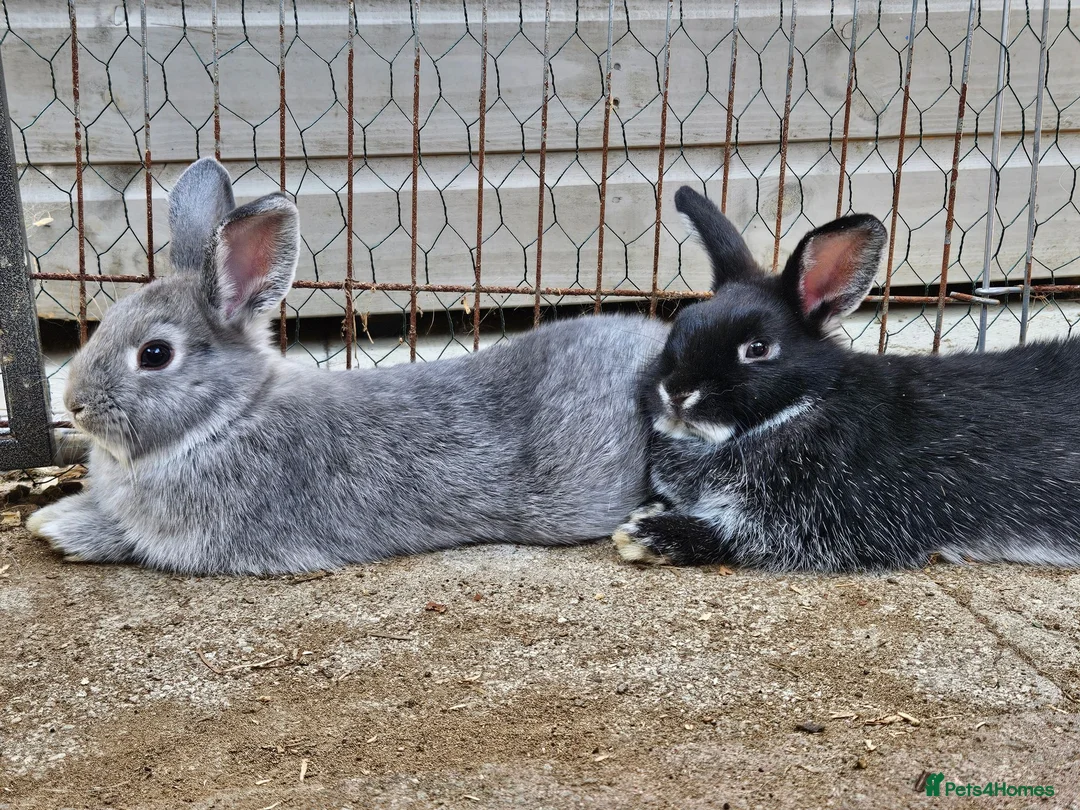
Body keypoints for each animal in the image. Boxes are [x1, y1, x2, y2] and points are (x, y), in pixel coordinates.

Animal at [613, 184, 1080, 572]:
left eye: (758, 349)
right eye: (682, 325)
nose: (676, 392)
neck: (804, 405)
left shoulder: (832, 519)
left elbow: (739, 536)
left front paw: (645, 536)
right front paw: (649, 513)